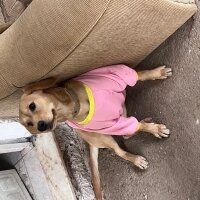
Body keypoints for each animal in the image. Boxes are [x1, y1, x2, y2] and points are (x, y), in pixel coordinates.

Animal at [19, 64, 172, 200]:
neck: (77, 105)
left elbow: (140, 74)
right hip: (106, 137)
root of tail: (90, 142)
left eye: (32, 106)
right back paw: (136, 158)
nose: (41, 126)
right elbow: (138, 127)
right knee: (121, 147)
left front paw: (156, 73)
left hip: (121, 112)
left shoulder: (113, 74)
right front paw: (155, 129)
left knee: (127, 134)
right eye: (29, 124)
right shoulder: (113, 125)